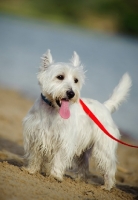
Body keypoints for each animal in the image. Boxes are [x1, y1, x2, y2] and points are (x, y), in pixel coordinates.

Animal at [22, 50, 132, 191]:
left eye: (76, 80)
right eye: (60, 77)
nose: (71, 93)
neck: (53, 110)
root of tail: (105, 107)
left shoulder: (64, 141)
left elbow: (58, 159)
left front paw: (55, 176)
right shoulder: (36, 135)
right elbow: (35, 155)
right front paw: (31, 170)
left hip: (103, 148)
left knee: (109, 167)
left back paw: (107, 186)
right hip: (84, 150)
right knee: (83, 164)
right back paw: (79, 179)